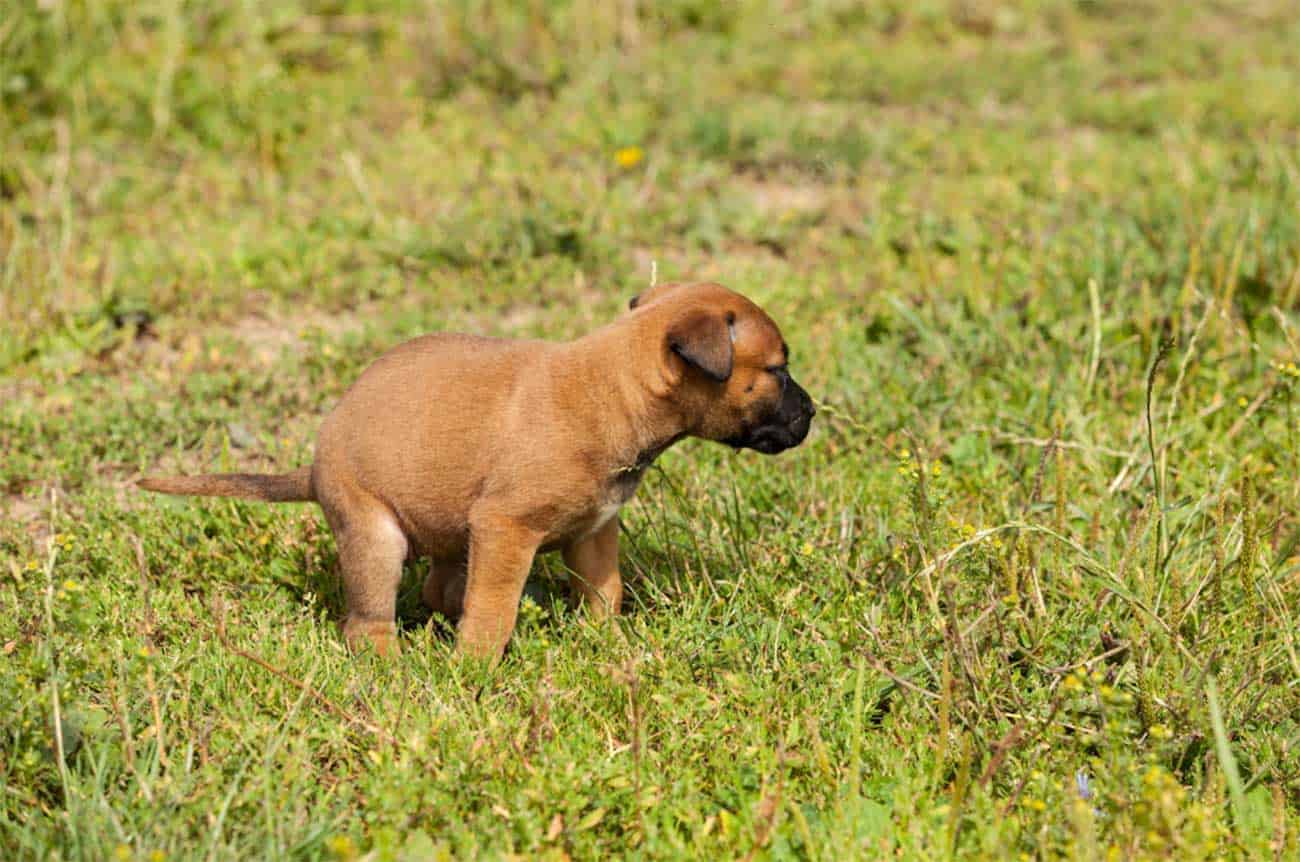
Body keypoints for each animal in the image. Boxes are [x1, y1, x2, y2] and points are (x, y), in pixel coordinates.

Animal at [142, 283, 811, 660]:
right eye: (777, 371)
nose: (811, 414)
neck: (612, 390)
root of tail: (314, 466)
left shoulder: (595, 534)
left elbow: (605, 595)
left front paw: (612, 647)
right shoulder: (505, 529)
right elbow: (493, 611)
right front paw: (476, 672)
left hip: (449, 533)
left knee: (439, 591)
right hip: (375, 537)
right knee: (367, 623)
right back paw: (393, 669)